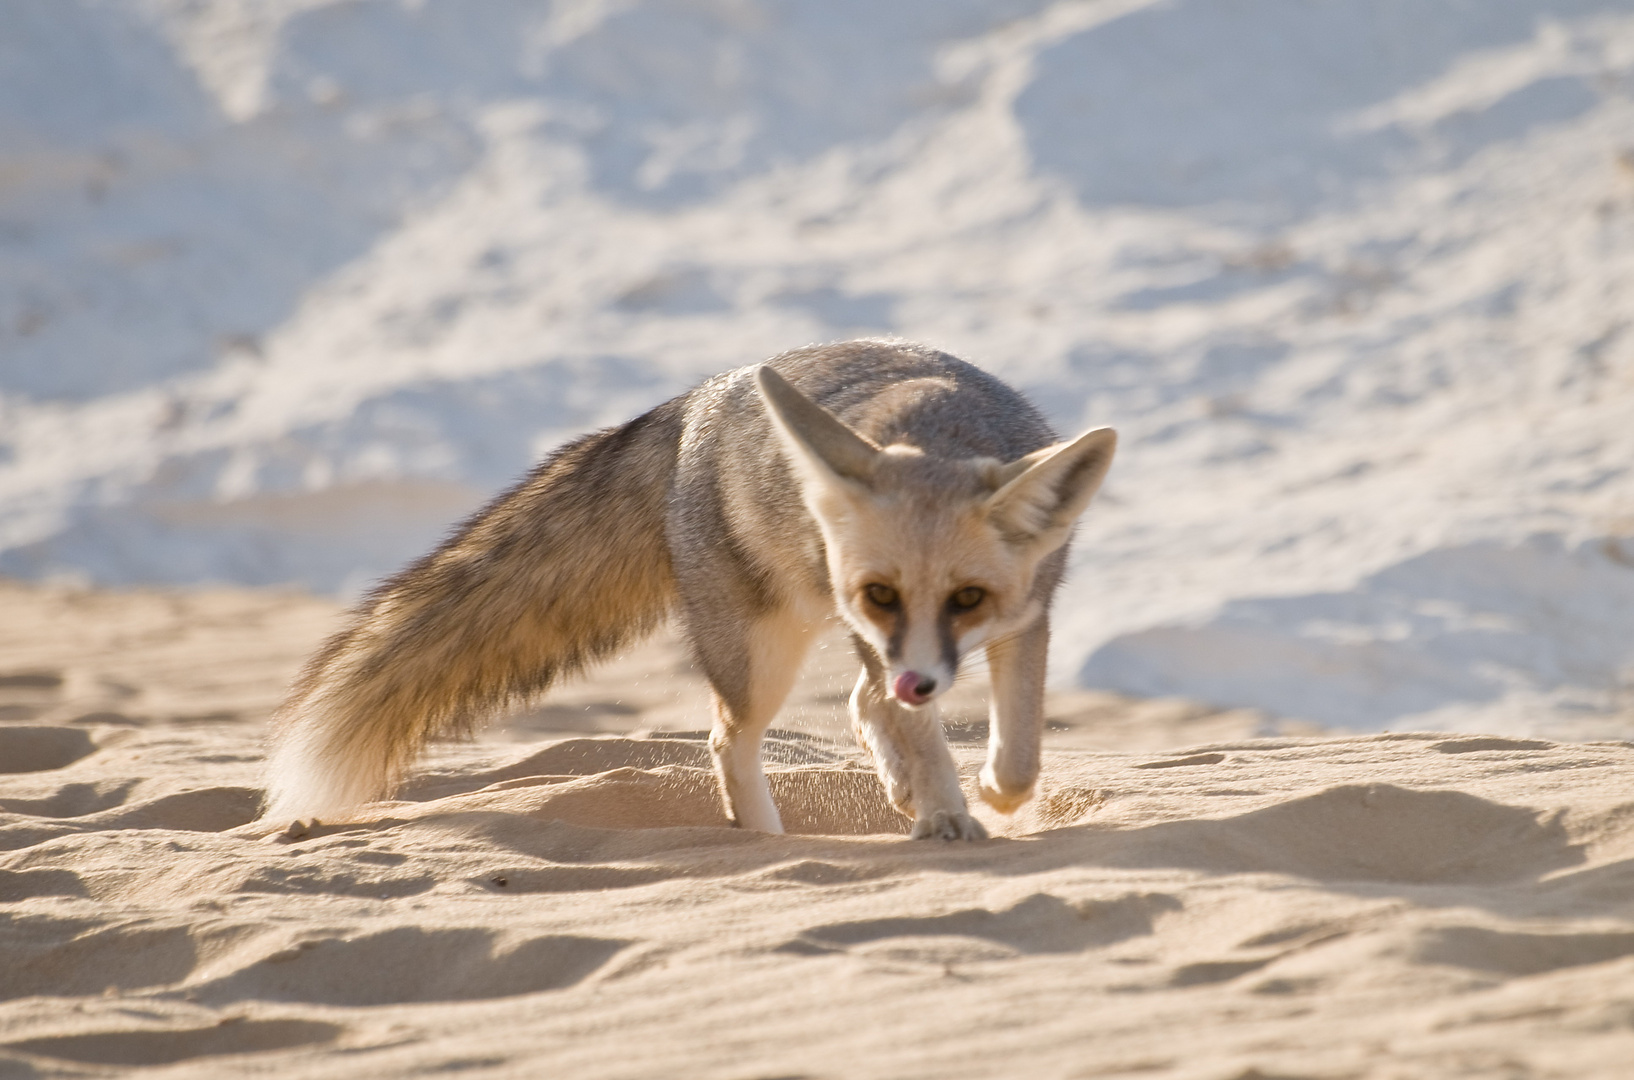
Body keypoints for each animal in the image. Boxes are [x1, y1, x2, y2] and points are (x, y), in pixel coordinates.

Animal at [261, 341, 1117, 836]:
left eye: (968, 599)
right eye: (882, 592)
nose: (921, 682)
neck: (935, 427)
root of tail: (702, 396)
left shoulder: (1026, 620)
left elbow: (1018, 757)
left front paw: (986, 795)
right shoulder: (878, 636)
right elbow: (925, 739)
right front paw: (945, 810)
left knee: (857, 706)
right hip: (765, 655)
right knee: (732, 739)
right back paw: (768, 837)